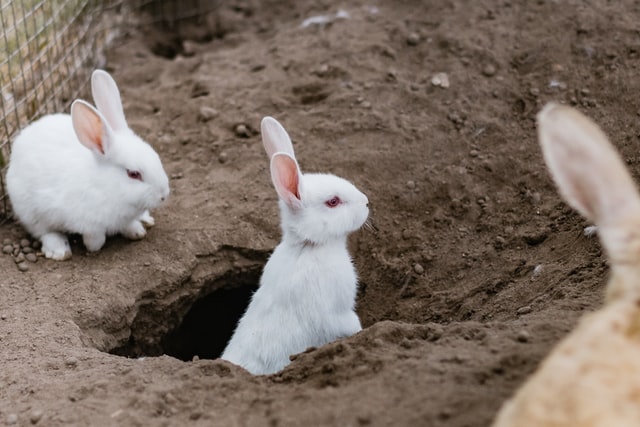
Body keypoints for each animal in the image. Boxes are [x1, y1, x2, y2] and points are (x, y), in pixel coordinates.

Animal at [5, 69, 170, 260]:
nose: (163, 195)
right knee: (45, 232)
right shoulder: (89, 224)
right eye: (133, 174)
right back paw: (59, 251)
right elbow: (95, 236)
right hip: (30, 212)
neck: (105, 186)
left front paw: (137, 232)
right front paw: (94, 248)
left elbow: (129, 225)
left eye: (156, 157)